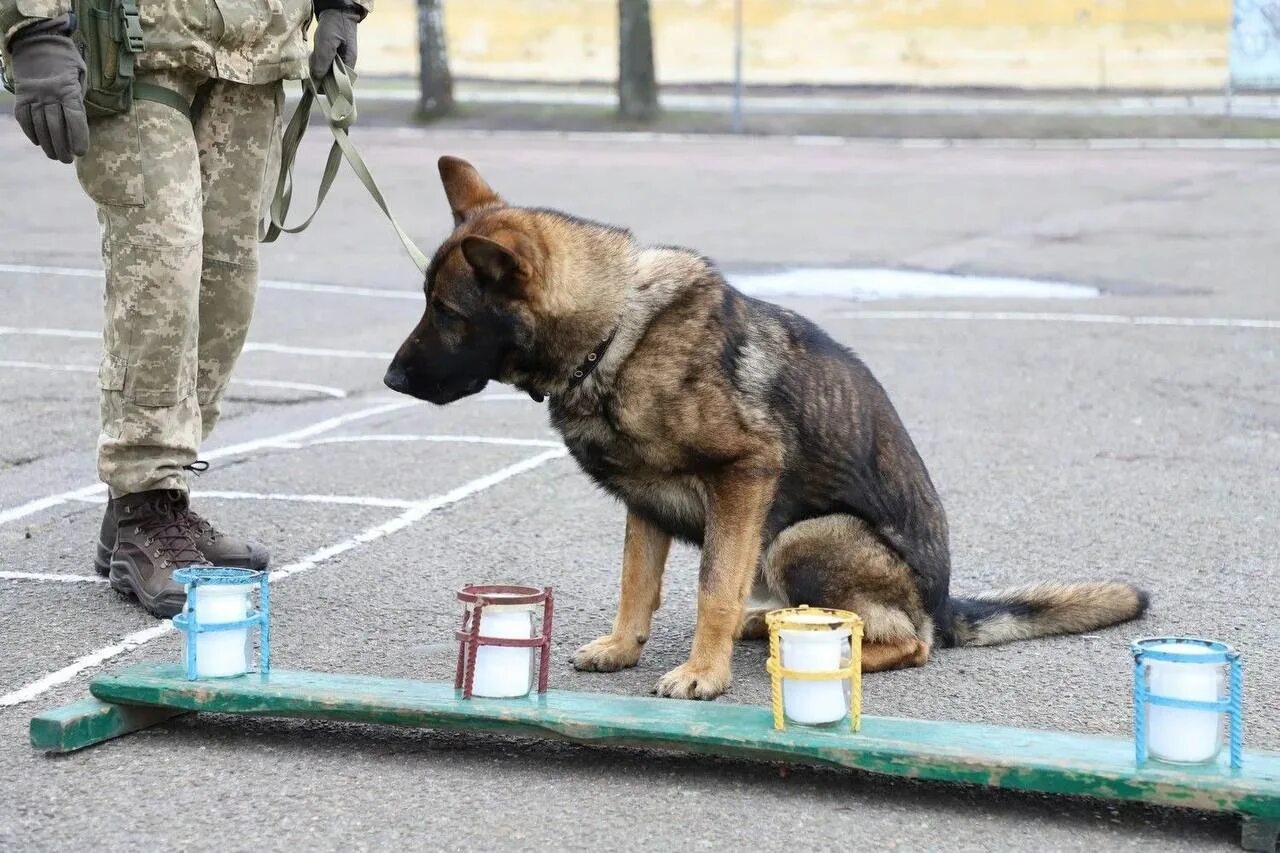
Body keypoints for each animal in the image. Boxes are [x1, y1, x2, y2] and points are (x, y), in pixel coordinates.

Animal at [381, 157, 1152, 696]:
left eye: (449, 313)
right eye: (426, 303)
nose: (389, 380)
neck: (615, 333)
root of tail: (941, 602)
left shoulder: (744, 477)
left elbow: (712, 588)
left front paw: (704, 673)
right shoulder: (645, 504)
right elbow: (637, 582)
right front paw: (624, 647)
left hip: (798, 539)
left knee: (912, 640)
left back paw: (834, 648)